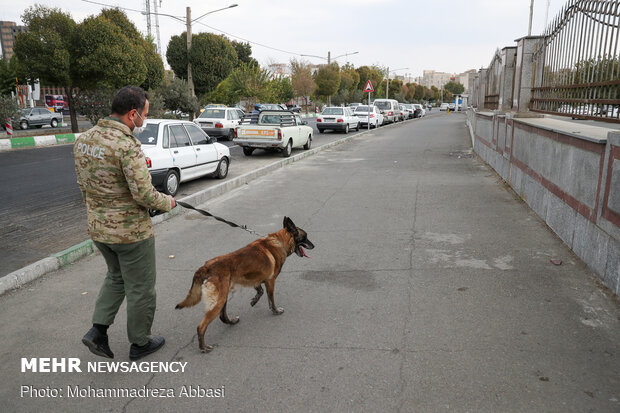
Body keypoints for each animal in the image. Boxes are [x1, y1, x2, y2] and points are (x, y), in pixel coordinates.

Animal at [176, 216, 314, 350]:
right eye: (305, 237)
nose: (314, 246)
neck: (278, 241)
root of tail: (207, 266)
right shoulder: (270, 282)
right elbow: (271, 300)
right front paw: (276, 311)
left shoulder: (256, 278)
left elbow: (260, 290)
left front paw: (254, 300)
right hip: (218, 301)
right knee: (201, 326)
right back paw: (203, 347)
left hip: (223, 297)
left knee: (222, 316)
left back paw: (231, 322)